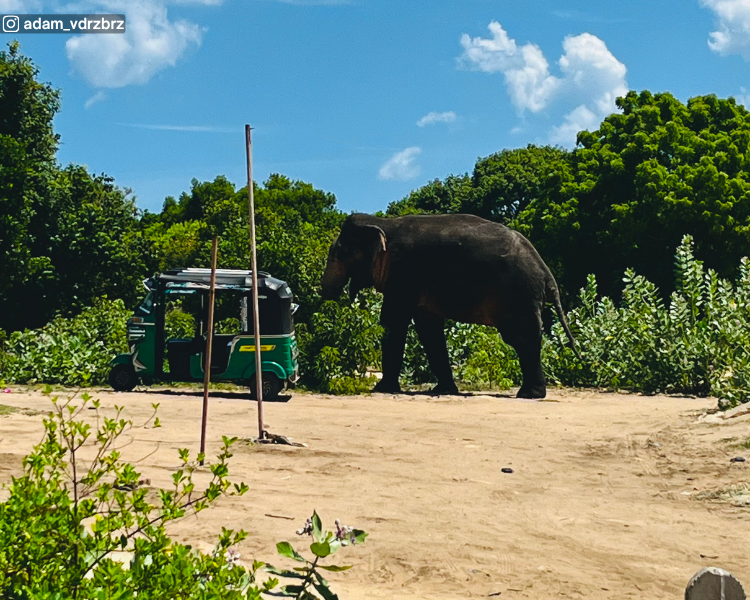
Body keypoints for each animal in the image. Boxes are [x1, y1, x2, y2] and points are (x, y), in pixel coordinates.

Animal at [320, 213, 580, 399]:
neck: (383, 223)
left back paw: (528, 395)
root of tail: (547, 273)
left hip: (518, 294)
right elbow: (428, 328)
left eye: (338, 254)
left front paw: (382, 389)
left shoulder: (404, 272)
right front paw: (442, 391)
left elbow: (393, 321)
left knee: (521, 337)